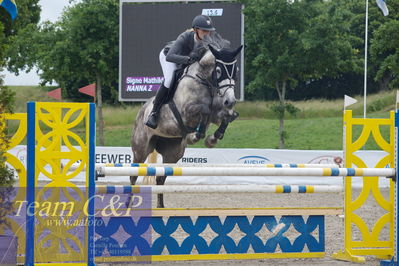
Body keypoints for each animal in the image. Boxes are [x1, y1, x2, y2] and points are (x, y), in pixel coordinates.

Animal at [133, 33, 242, 208]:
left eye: (236, 71)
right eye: (219, 70)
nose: (230, 100)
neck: (205, 81)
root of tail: (141, 111)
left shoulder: (218, 113)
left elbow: (228, 116)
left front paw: (212, 138)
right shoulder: (185, 112)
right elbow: (204, 111)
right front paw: (194, 136)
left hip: (173, 153)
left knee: (161, 178)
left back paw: (161, 207)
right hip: (140, 149)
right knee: (133, 176)